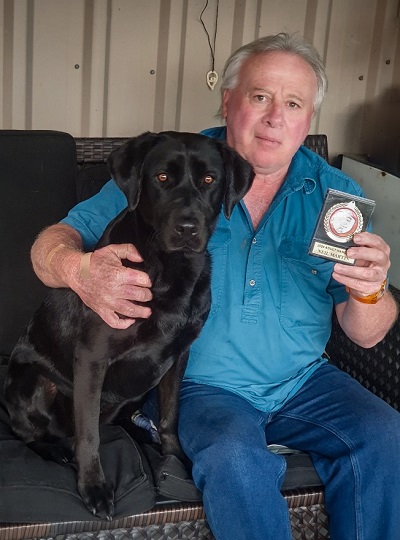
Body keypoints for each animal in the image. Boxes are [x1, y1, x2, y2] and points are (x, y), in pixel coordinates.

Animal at [3, 131, 253, 520]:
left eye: (210, 180)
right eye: (162, 178)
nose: (187, 228)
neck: (170, 268)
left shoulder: (179, 355)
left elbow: (169, 417)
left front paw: (175, 457)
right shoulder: (92, 358)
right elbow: (88, 433)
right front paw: (93, 487)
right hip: (36, 383)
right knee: (29, 434)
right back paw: (56, 449)